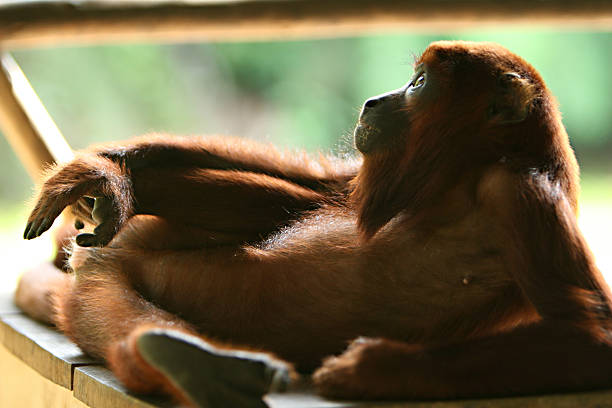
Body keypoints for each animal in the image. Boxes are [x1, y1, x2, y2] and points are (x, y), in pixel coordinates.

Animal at [15, 41, 612, 404]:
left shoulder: (523, 194)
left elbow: (589, 333)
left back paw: (188, 362)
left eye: (418, 84)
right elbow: (325, 186)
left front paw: (371, 369)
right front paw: (101, 173)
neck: (464, 172)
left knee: (101, 289)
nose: (374, 100)